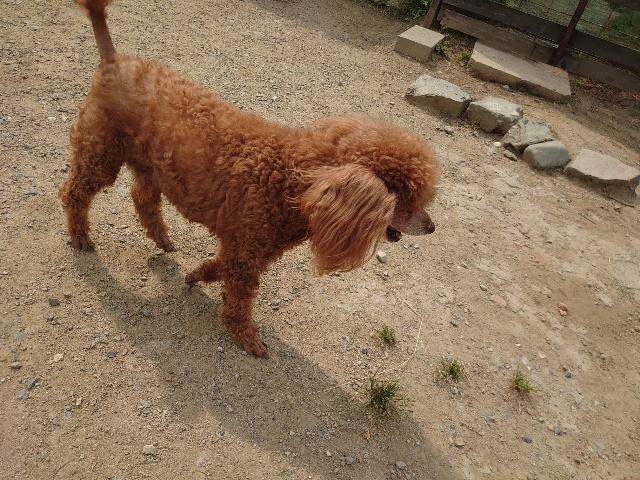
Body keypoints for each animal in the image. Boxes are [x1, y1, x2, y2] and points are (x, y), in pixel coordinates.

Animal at [60, 0, 440, 358]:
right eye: (405, 200)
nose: (432, 227)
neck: (298, 184)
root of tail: (113, 61)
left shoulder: (245, 249)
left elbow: (220, 268)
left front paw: (196, 274)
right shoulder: (246, 252)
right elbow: (240, 299)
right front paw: (246, 337)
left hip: (150, 164)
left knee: (143, 199)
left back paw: (163, 240)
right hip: (102, 152)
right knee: (73, 192)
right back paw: (80, 236)